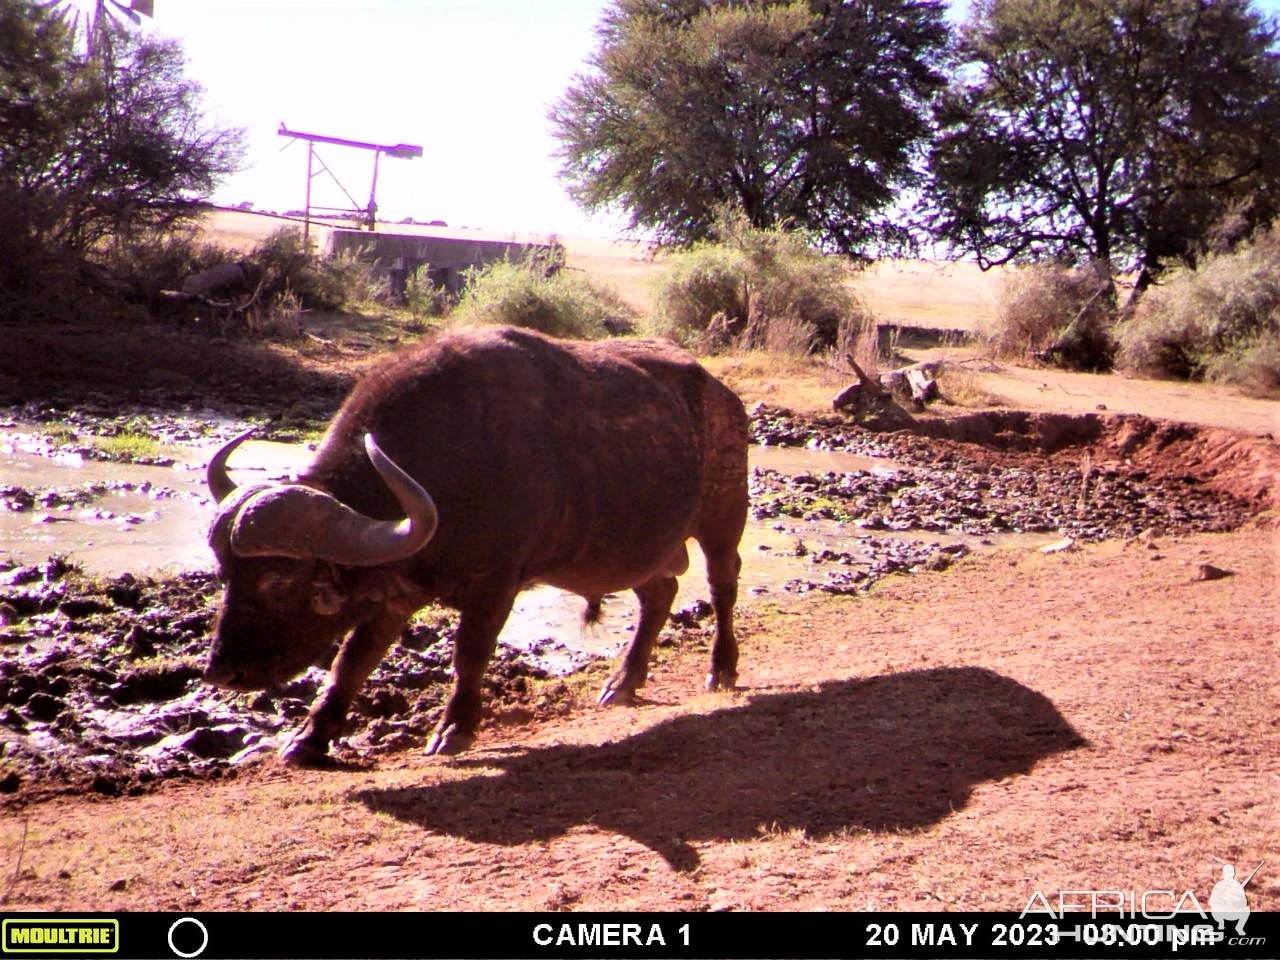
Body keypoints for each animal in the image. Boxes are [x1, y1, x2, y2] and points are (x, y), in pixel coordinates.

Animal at [202, 330, 747, 768]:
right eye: (226, 576)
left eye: (276, 581)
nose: (221, 671)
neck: (448, 467)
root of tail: (722, 395)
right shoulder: (395, 592)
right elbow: (351, 663)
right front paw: (310, 738)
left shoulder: (495, 585)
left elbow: (469, 654)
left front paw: (454, 728)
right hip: (639, 549)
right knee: (660, 593)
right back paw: (624, 681)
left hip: (723, 519)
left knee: (722, 585)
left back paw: (720, 668)